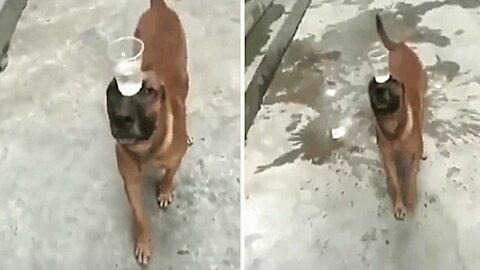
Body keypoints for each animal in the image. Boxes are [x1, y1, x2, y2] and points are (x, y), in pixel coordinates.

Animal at [105, 0, 189, 264]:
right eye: (112, 91)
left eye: (149, 91)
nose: (122, 118)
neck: (147, 148)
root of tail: (159, 6)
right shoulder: (130, 181)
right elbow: (140, 217)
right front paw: (143, 243)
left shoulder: (176, 158)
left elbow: (170, 174)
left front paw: (164, 190)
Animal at [370, 14, 426, 219]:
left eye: (392, 89)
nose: (380, 92)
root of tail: (399, 46)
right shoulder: (389, 159)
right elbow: (395, 182)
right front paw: (399, 205)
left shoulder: (414, 154)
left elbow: (411, 176)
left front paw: (411, 196)